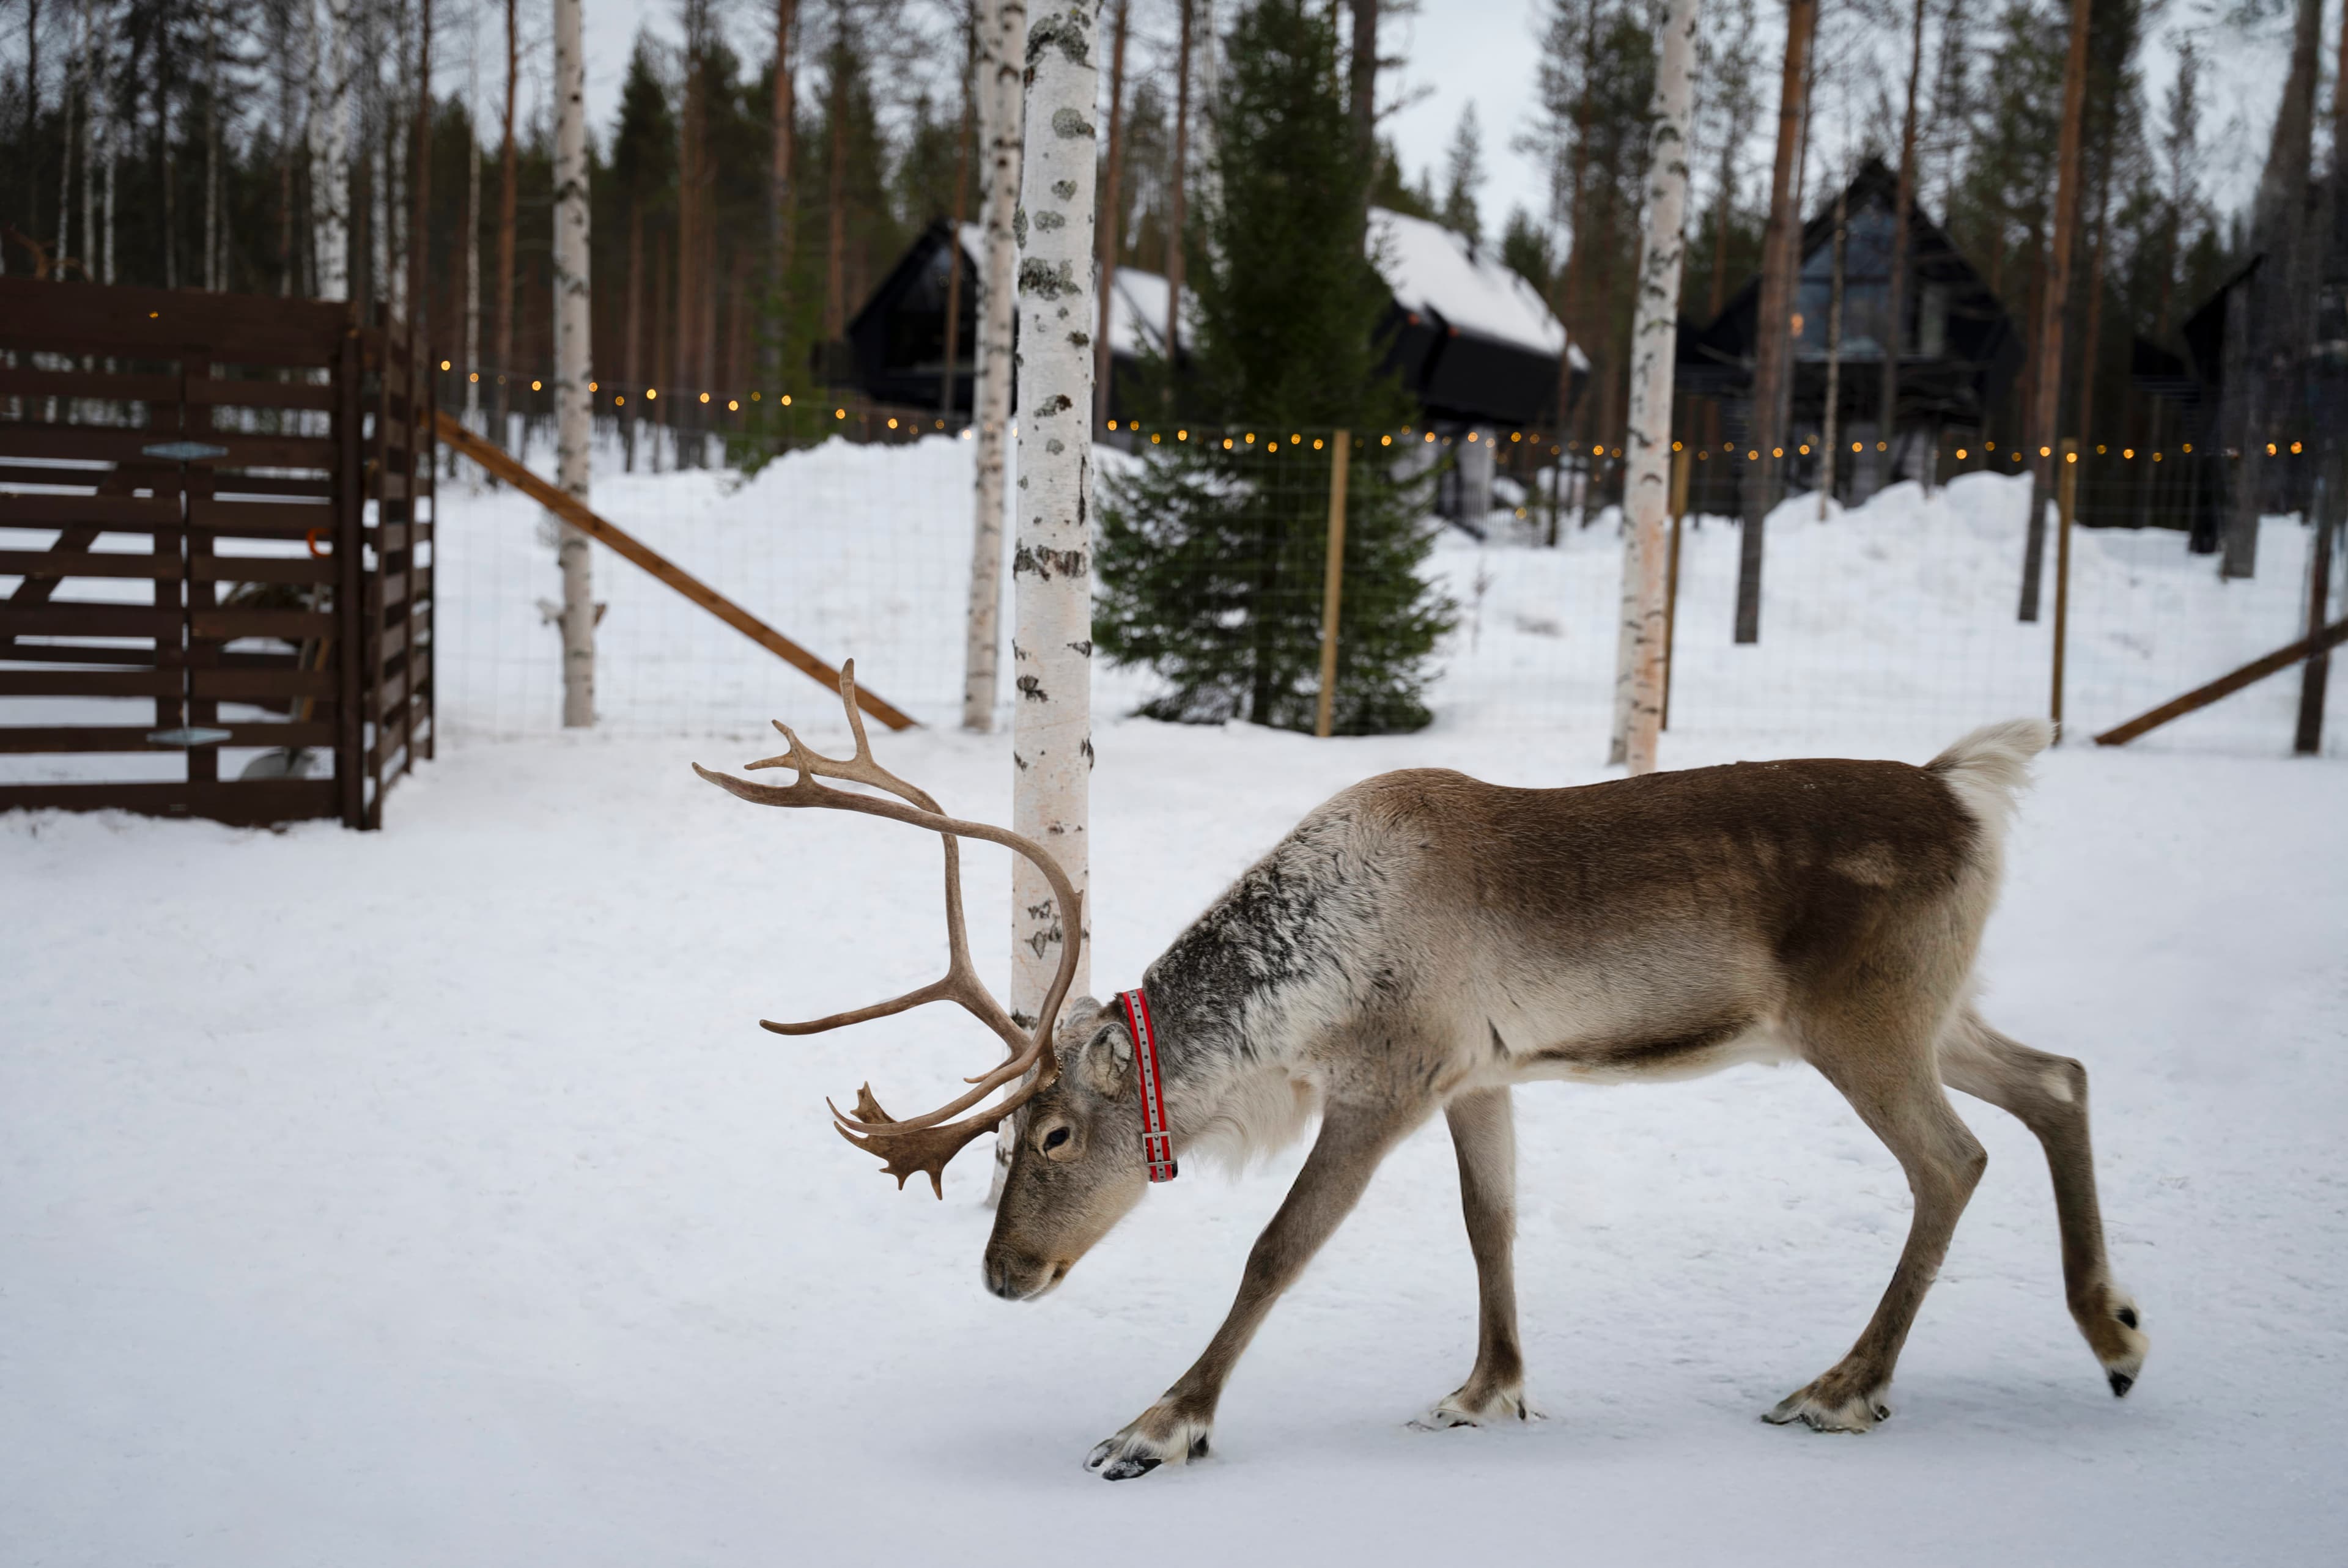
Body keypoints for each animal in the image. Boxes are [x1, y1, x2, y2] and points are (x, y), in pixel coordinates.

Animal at [696, 667, 2147, 1480]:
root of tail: (1969, 791)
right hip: (1931, 1009)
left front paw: (1160, 1425)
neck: (1305, 991)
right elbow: (1489, 1222)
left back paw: (1843, 1390)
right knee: (2061, 1078)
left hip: (1865, 1021)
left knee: (1955, 1158)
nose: (1004, 1275)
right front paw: (1487, 1389)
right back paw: (2114, 1332)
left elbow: (1276, 1250)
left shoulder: (1386, 1081)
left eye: (1048, 1137)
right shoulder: (1478, 1077)